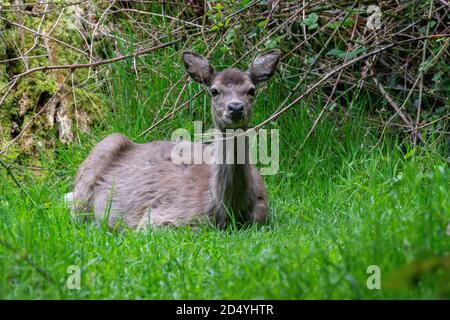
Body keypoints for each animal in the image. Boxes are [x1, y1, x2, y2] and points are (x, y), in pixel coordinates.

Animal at [67, 48, 282, 229]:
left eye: (251, 90)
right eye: (214, 90)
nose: (236, 107)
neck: (228, 211)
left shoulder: (262, 213)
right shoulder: (159, 220)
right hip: (101, 153)